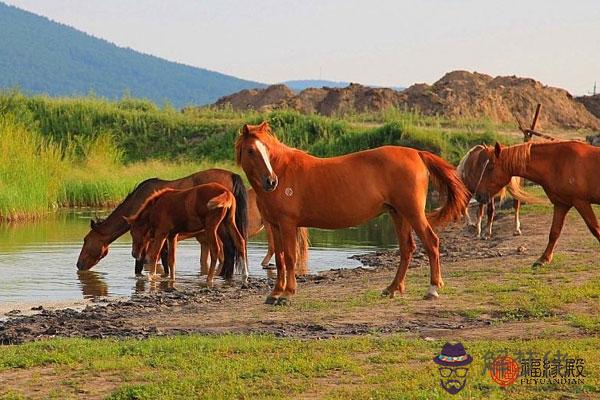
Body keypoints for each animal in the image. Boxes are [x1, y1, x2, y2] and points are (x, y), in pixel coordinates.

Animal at [76, 167, 247, 280]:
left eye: (86, 239)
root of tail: (233, 175)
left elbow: (145, 262)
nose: (79, 264)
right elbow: (163, 258)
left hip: (219, 227)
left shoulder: (149, 237)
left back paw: (224, 276)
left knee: (228, 248)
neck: (140, 202)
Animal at [237, 121, 472, 304]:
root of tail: (417, 153)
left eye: (266, 149)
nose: (271, 181)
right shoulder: (274, 225)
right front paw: (275, 293)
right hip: (398, 214)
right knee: (407, 249)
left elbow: (289, 258)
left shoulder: (287, 224)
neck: (284, 171)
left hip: (413, 213)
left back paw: (432, 289)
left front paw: (287, 294)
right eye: (251, 150)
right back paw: (392, 288)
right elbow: (279, 259)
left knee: (431, 243)